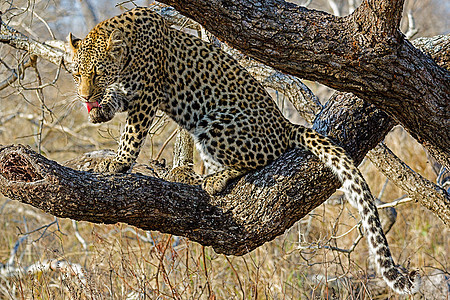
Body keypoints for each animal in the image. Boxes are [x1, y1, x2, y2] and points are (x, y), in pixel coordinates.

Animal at [68, 7, 420, 296]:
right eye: (76, 73)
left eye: (97, 72)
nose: (84, 96)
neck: (126, 47)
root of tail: (284, 125)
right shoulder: (129, 93)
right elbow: (115, 104)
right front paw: (100, 112)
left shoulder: (146, 95)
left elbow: (131, 134)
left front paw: (118, 164)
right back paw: (191, 175)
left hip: (215, 121)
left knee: (253, 162)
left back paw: (210, 179)